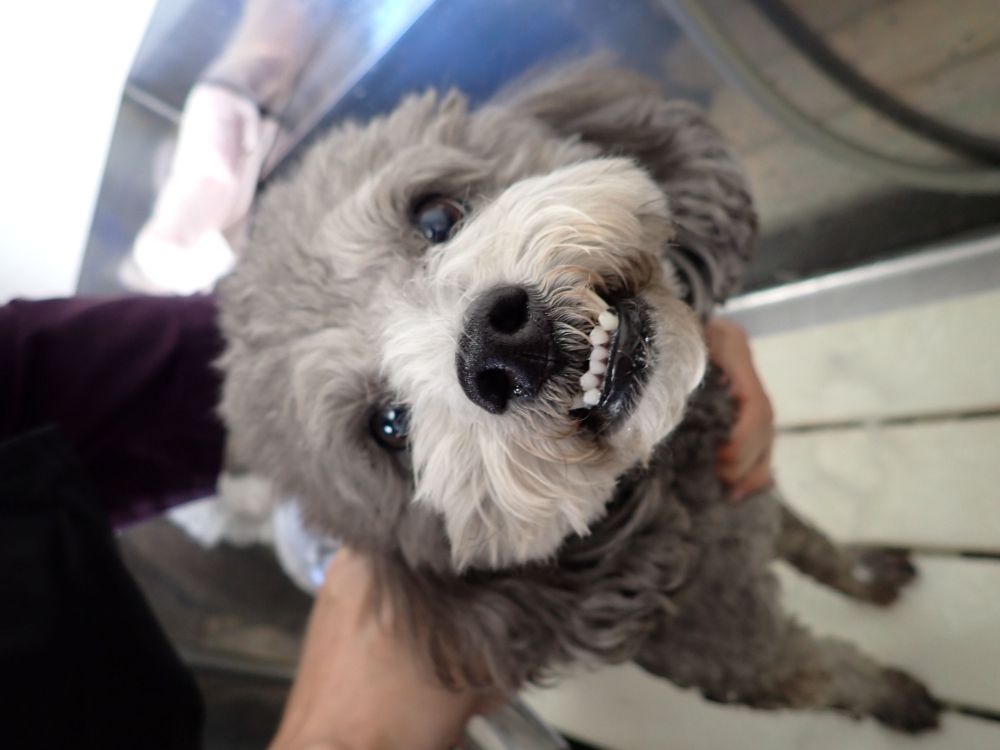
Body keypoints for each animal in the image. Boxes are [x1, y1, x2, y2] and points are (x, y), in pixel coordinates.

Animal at [217, 63, 940, 732]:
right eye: (389, 426)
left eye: (436, 214)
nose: (499, 348)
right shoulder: (743, 654)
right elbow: (832, 674)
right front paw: (897, 696)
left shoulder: (749, 487)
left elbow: (816, 545)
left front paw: (868, 575)